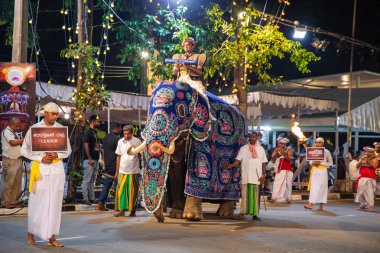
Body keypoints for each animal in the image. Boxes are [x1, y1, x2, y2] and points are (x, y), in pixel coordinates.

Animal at [127, 80, 246, 222]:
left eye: (181, 110)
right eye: (149, 113)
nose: (162, 220)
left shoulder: (203, 136)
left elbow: (196, 165)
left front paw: (191, 216)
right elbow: (175, 170)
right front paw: (177, 214)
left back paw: (224, 213)